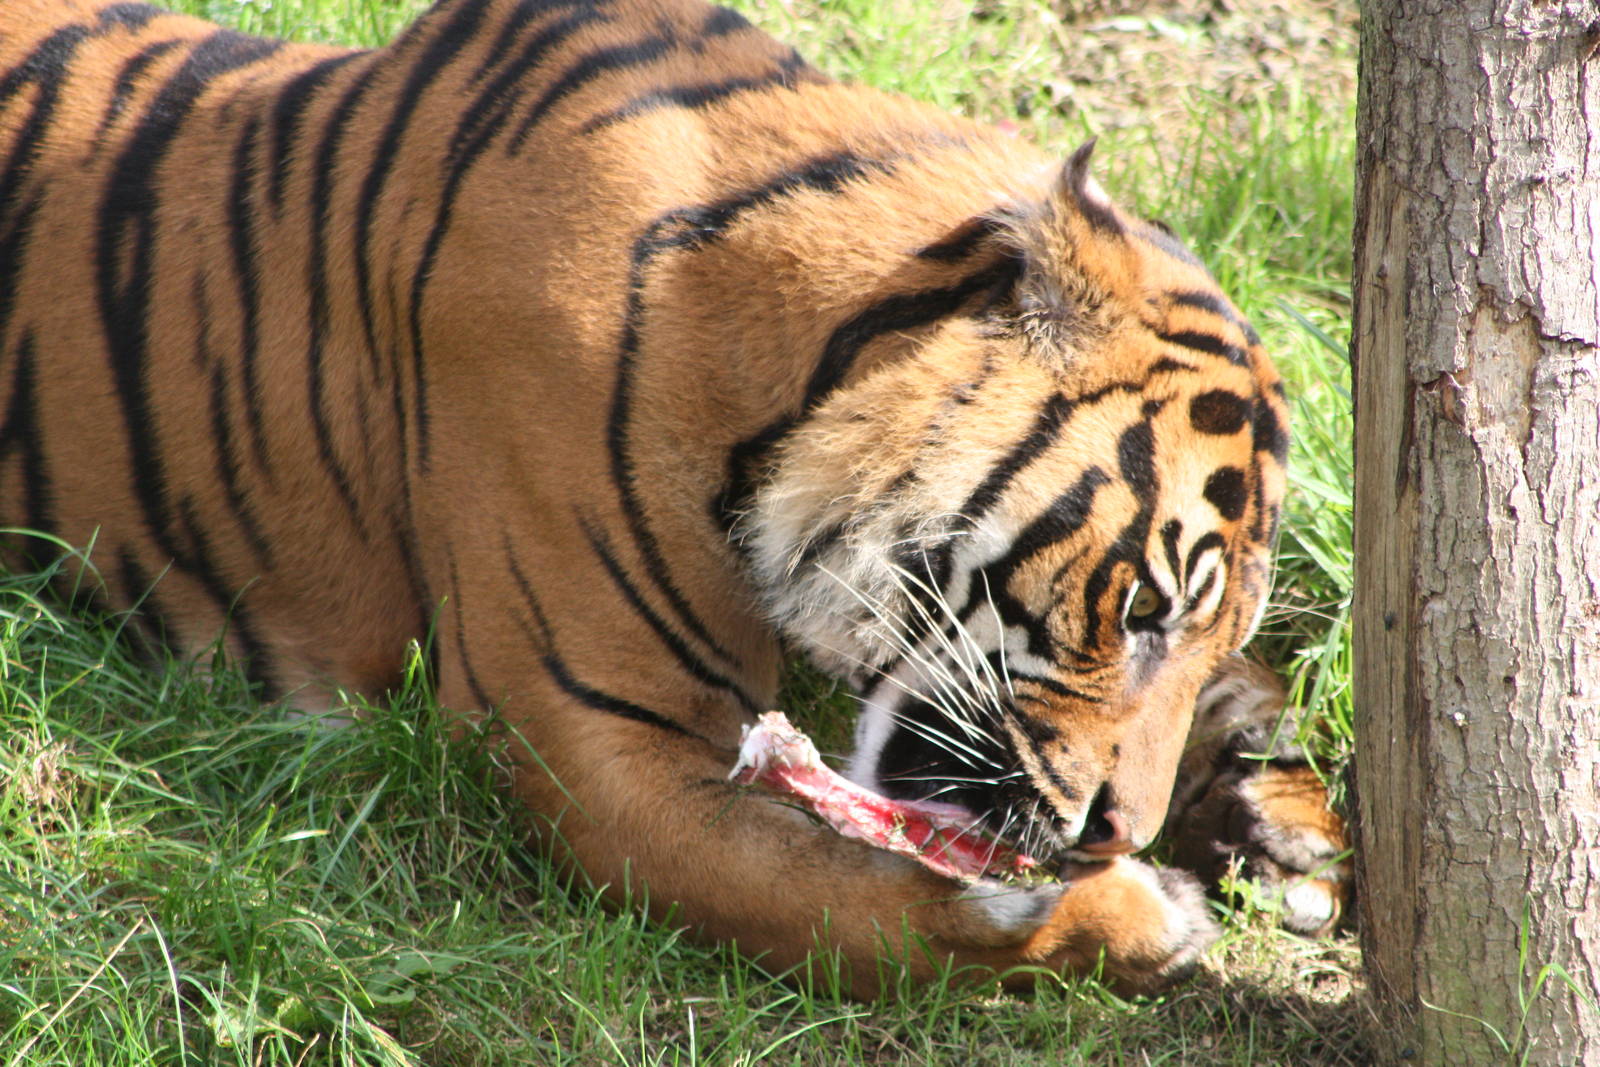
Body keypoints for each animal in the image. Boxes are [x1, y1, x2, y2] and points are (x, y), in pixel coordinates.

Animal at [0, 0, 1349, 995]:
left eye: (1200, 629)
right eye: (1139, 610)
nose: (1113, 833)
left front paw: (1276, 804)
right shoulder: (598, 741)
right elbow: (867, 901)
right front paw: (1141, 911)